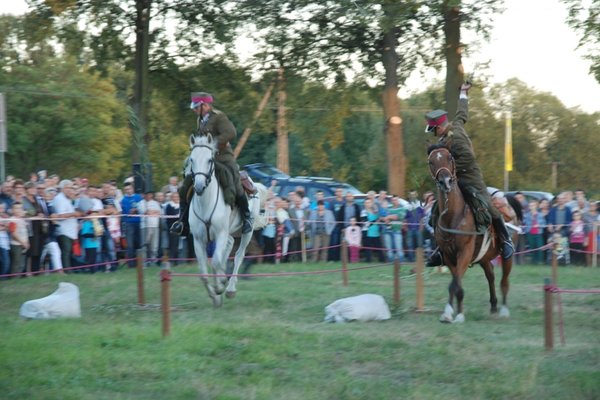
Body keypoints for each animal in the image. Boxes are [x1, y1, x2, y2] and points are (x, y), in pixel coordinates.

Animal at [185, 134, 264, 306]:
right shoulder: (198, 239)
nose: (199, 187)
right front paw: (215, 296)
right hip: (227, 233)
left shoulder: (220, 234)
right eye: (192, 159)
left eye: (210, 160)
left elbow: (215, 262)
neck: (206, 203)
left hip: (246, 232)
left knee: (239, 255)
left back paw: (230, 289)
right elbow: (203, 272)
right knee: (229, 245)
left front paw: (220, 287)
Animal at [426, 145, 510, 324]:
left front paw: (457, 314)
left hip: (507, 258)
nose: (445, 182)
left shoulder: (464, 253)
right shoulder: (448, 256)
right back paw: (493, 305)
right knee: (491, 275)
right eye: (431, 161)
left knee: (504, 280)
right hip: (484, 258)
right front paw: (451, 312)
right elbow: (455, 283)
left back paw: (504, 310)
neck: (453, 215)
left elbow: (455, 283)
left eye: (450, 158)